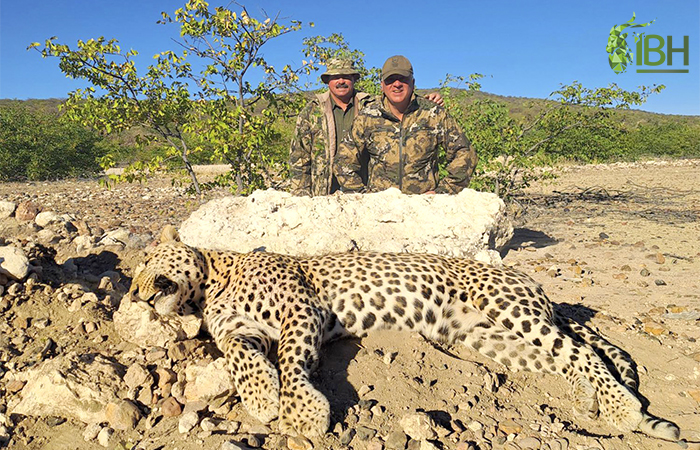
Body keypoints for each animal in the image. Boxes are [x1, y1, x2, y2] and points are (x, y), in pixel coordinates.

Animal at [129, 230, 680, 442]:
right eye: (131, 280)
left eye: (144, 265)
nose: (134, 294)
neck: (212, 283)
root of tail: (531, 281)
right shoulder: (241, 333)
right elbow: (242, 358)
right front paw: (263, 397)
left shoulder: (301, 310)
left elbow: (290, 359)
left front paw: (301, 412)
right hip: (487, 338)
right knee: (564, 357)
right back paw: (596, 401)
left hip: (509, 308)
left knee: (584, 349)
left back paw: (623, 409)